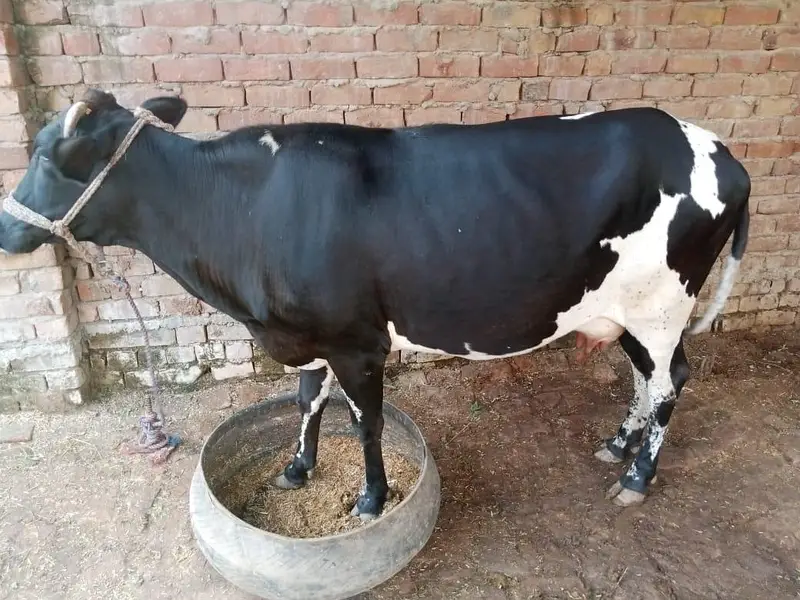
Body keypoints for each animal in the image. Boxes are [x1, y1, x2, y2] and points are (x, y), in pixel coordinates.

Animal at [0, 89, 750, 518]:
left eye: (48, 156)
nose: (6, 227)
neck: (249, 209)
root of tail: (716, 149)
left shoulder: (357, 340)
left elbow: (366, 423)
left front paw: (369, 498)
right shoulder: (304, 332)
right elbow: (306, 399)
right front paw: (296, 470)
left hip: (661, 306)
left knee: (671, 380)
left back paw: (640, 475)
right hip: (629, 311)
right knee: (646, 379)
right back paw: (618, 444)